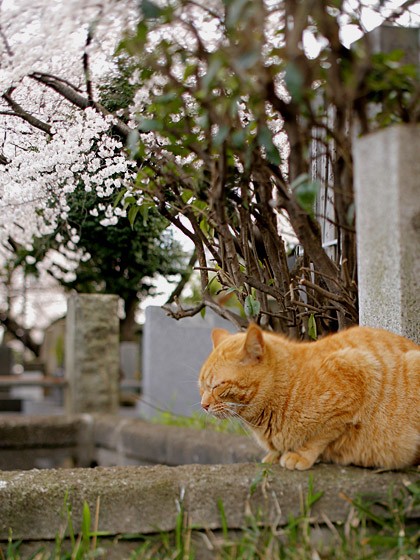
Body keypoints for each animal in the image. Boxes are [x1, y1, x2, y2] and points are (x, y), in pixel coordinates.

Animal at [199, 322, 418, 470]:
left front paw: (300, 455)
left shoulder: (356, 372)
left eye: (217, 386)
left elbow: (320, 436)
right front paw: (274, 455)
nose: (203, 405)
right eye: (201, 387)